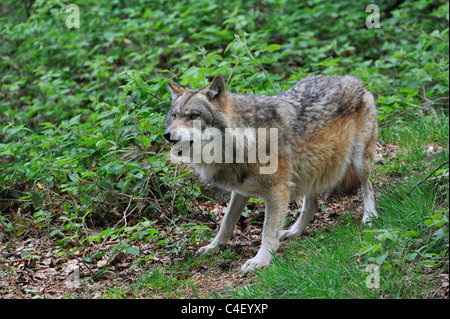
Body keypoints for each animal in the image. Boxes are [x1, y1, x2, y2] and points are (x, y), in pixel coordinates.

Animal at [163, 74, 378, 272]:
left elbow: (267, 230)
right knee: (312, 206)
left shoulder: (277, 190)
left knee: (368, 187)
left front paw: (260, 260)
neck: (244, 138)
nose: (167, 135)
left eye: (193, 116)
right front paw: (213, 247)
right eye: (174, 116)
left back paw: (369, 217)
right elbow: (226, 222)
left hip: (358, 162)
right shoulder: (240, 191)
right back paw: (293, 232)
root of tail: (355, 80)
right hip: (310, 171)